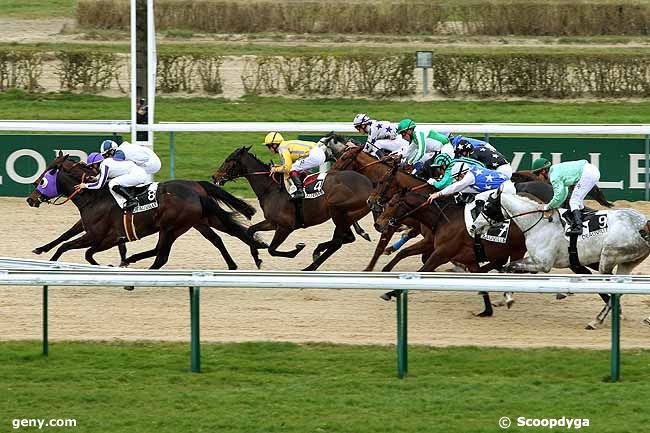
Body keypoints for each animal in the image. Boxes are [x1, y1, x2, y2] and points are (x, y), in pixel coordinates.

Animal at [27, 150, 266, 268]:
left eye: (48, 173)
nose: (31, 198)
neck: (95, 197)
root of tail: (195, 187)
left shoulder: (99, 237)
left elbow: (73, 248)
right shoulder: (94, 232)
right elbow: (65, 238)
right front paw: (40, 249)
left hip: (172, 226)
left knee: (161, 255)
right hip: (202, 220)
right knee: (227, 235)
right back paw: (242, 260)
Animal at [213, 146, 372, 270]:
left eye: (228, 160)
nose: (214, 177)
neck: (271, 188)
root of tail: (370, 187)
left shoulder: (285, 226)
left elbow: (272, 250)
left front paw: (297, 248)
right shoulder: (272, 222)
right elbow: (251, 230)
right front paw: (257, 258)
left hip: (337, 211)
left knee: (340, 240)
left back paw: (312, 261)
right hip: (346, 216)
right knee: (344, 239)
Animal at [470, 188, 648, 328]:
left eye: (487, 207)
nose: (473, 227)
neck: (538, 223)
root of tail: (644, 224)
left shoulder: (543, 263)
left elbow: (510, 267)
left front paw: (507, 299)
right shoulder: (538, 261)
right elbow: (511, 268)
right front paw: (505, 297)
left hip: (608, 257)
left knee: (609, 286)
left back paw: (597, 320)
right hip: (627, 262)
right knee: (619, 288)